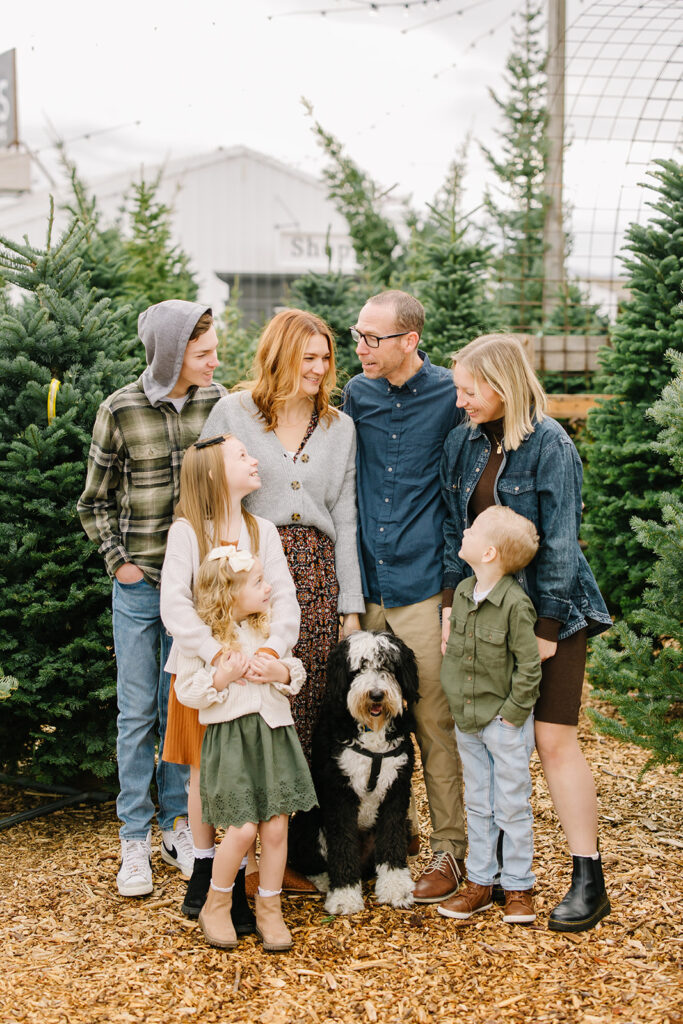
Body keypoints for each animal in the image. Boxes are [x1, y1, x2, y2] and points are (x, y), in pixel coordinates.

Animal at [286, 630, 417, 913]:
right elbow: (343, 845)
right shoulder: (340, 793)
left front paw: (396, 887)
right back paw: (325, 881)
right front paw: (344, 895)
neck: (372, 730)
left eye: (387, 665)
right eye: (359, 668)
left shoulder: (396, 789)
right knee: (310, 862)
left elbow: (392, 841)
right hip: (306, 823)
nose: (376, 695)